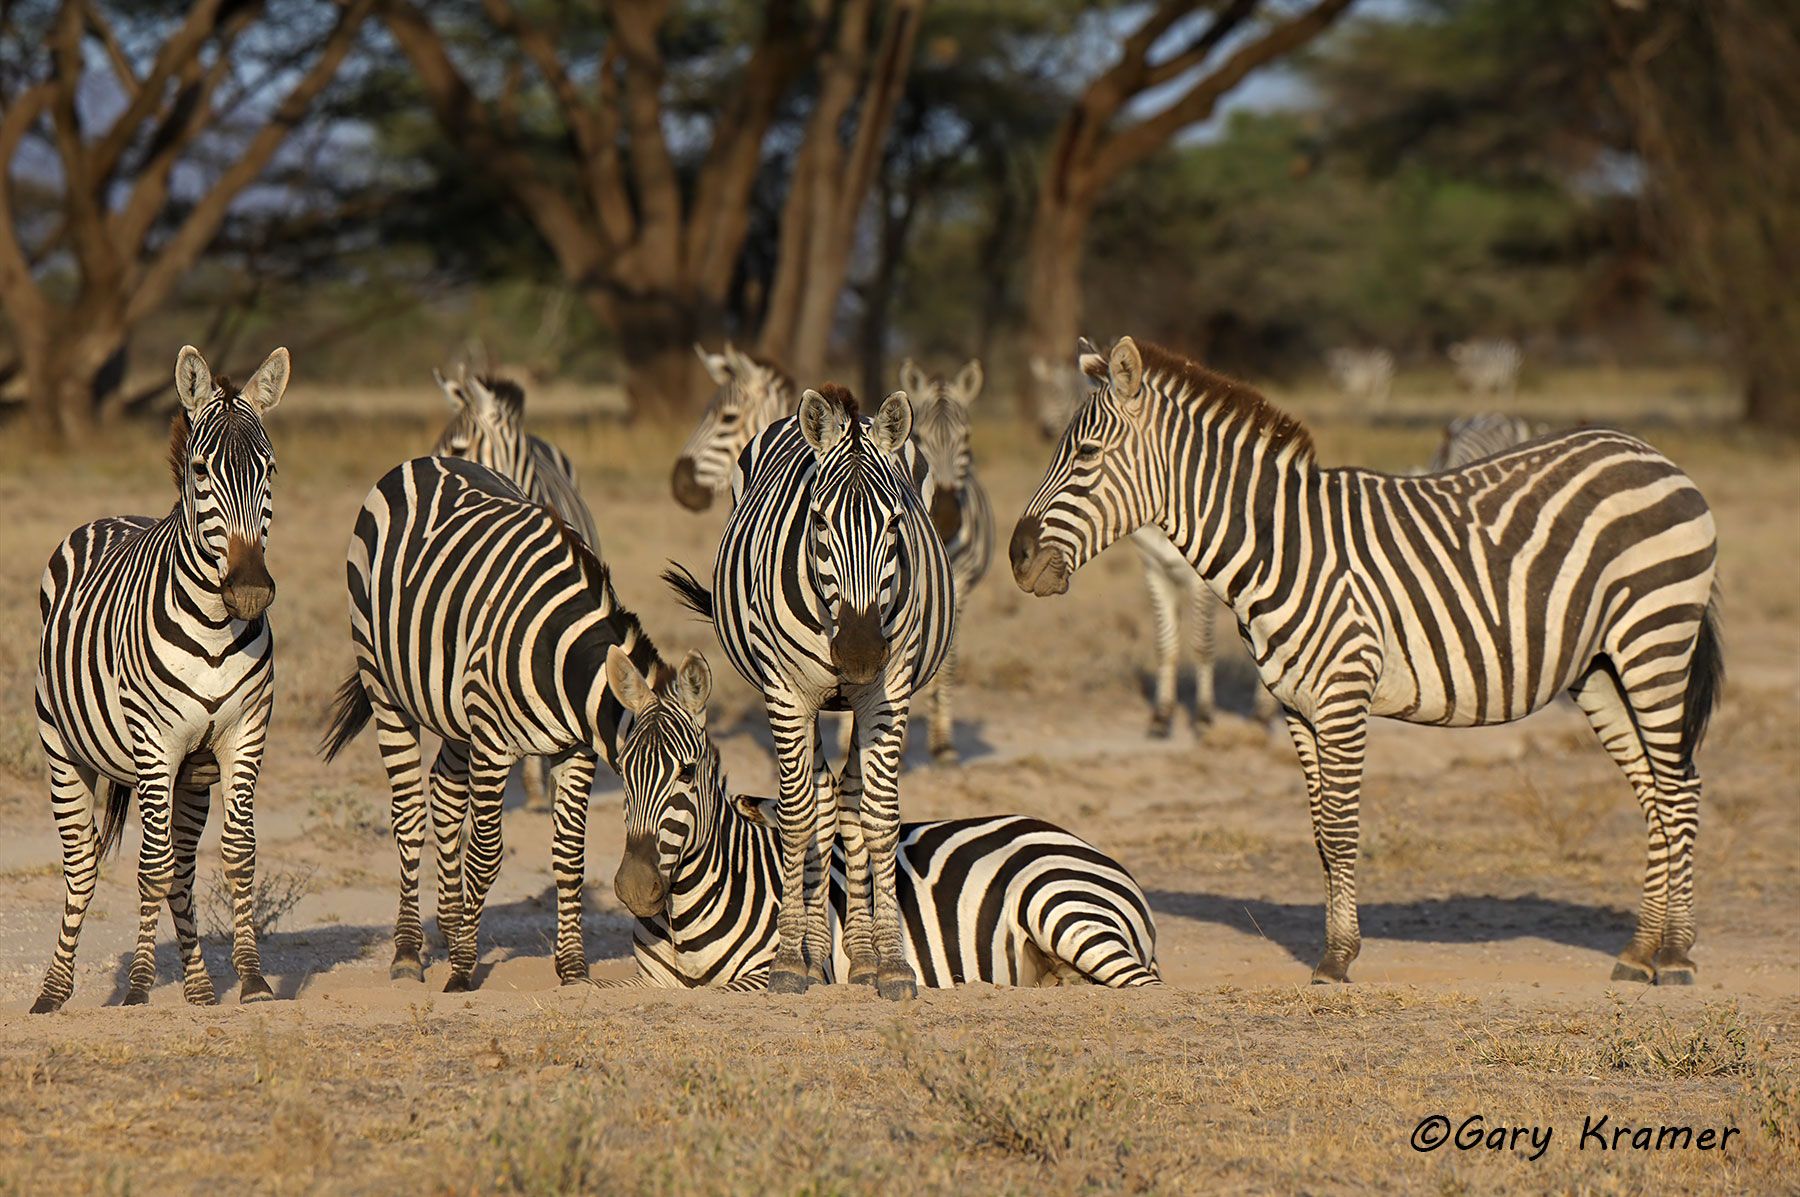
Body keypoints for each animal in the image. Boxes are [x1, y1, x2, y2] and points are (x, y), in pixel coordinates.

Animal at [30, 345, 289, 1013]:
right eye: (201, 470)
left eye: (270, 470)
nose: (250, 592)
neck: (216, 630)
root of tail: (112, 516)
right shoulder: (155, 745)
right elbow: (150, 867)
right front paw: (140, 986)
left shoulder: (244, 737)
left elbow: (236, 858)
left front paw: (253, 979)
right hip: (64, 749)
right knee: (83, 865)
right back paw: (54, 990)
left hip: (193, 775)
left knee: (185, 866)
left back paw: (197, 985)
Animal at [319, 455, 666, 991]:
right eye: (635, 777)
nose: (645, 893)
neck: (558, 659)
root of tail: (423, 460)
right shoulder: (493, 744)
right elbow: (485, 856)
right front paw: (463, 969)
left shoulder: (576, 749)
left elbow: (570, 854)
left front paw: (572, 967)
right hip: (384, 682)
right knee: (409, 812)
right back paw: (408, 952)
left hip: (455, 711)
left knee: (443, 792)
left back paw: (450, 923)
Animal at [600, 646, 1160, 989]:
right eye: (621, 769)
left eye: (687, 772)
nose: (634, 888)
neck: (683, 918)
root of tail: (1079, 841)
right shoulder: (646, 980)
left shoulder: (770, 972)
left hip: (1063, 908)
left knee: (1142, 985)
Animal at [672, 384, 955, 1000]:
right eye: (820, 522)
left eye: (894, 525)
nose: (859, 654)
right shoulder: (787, 693)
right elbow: (799, 817)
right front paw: (787, 962)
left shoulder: (887, 692)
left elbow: (879, 817)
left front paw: (891, 964)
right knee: (821, 801)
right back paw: (813, 951)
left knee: (845, 798)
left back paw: (860, 955)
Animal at [1033, 347, 1276, 734]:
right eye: (1037, 392)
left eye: (1085, 450)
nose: (1042, 428)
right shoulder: (1154, 570)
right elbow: (1165, 644)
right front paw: (1162, 715)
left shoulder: (1198, 580)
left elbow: (1201, 643)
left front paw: (1203, 715)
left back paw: (1263, 713)